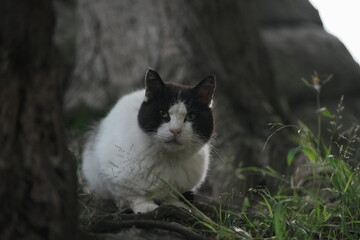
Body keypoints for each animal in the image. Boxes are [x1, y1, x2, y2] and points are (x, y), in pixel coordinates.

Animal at [81, 68, 215, 213]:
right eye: (163, 113)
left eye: (191, 116)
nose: (175, 130)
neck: (168, 158)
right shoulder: (112, 173)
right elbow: (133, 194)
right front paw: (146, 206)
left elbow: (171, 196)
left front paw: (176, 205)